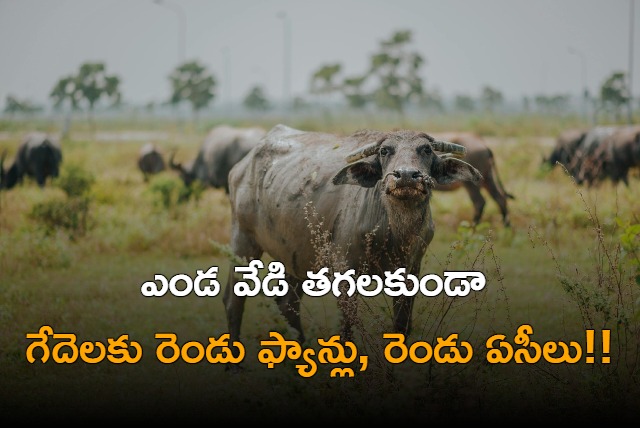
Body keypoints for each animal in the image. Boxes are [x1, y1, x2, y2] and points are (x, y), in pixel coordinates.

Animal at [222, 123, 482, 354]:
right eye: (385, 151)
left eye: (426, 150)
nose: (406, 176)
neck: (393, 231)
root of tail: (240, 168)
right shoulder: (344, 269)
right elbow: (346, 328)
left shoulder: (411, 269)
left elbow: (401, 326)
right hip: (243, 242)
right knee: (234, 300)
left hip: (296, 256)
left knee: (287, 303)